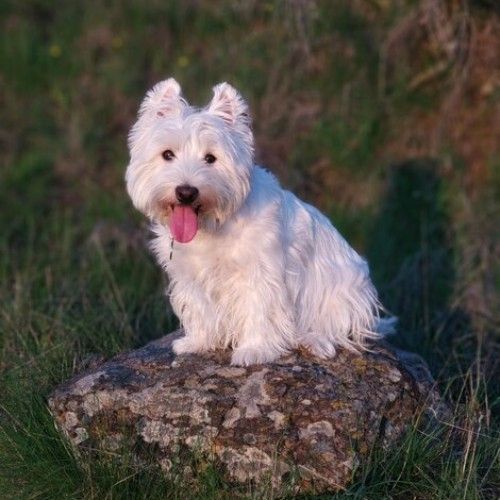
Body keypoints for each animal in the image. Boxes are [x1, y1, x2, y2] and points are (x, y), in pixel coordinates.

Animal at [126, 79, 394, 368]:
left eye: (210, 158)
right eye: (167, 154)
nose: (186, 192)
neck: (213, 225)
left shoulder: (260, 273)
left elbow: (259, 310)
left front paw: (254, 350)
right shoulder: (191, 276)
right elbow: (199, 307)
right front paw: (198, 342)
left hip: (344, 290)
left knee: (337, 326)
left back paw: (314, 341)